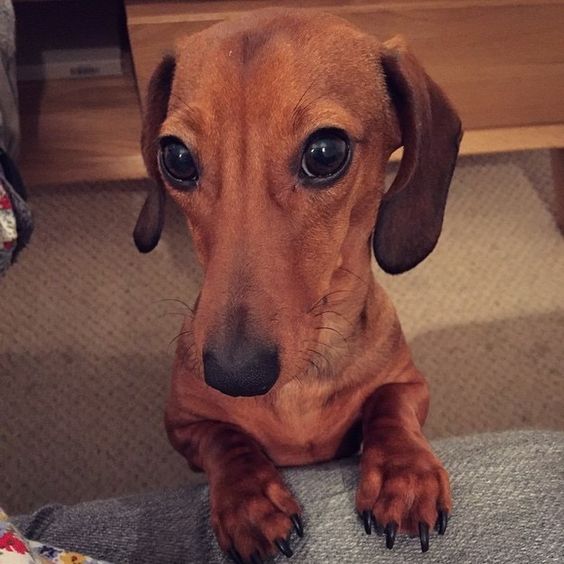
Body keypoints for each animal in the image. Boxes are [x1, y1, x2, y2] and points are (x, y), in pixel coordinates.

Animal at [134, 6, 460, 560]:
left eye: (325, 151)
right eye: (175, 157)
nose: (234, 375)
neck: (301, 385)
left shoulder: (410, 384)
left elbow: (390, 406)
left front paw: (404, 475)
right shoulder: (183, 423)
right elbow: (227, 441)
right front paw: (250, 502)